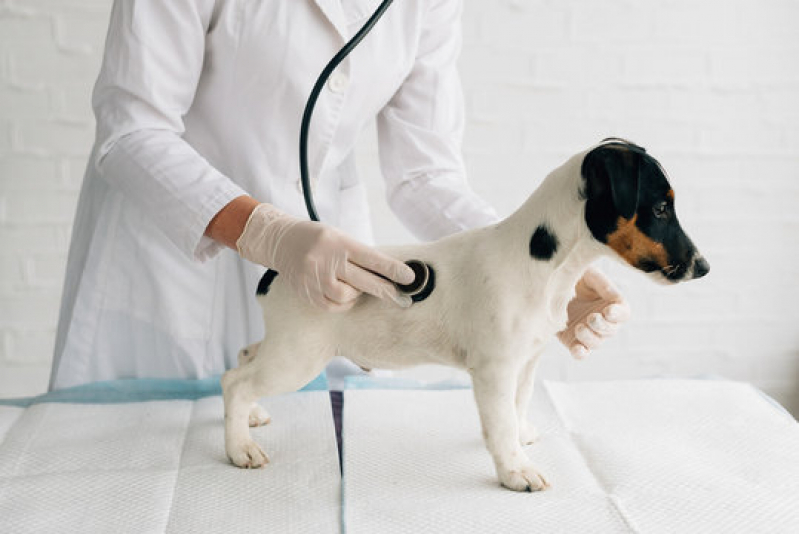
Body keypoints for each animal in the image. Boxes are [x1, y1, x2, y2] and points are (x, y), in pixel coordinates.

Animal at [222, 139, 708, 494]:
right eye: (661, 208)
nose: (703, 268)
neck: (543, 262)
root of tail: (276, 269)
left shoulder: (524, 363)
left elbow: (515, 408)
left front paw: (517, 438)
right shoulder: (494, 368)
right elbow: (500, 420)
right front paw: (515, 471)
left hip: (285, 346)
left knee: (243, 359)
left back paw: (250, 418)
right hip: (299, 356)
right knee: (236, 382)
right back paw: (239, 448)